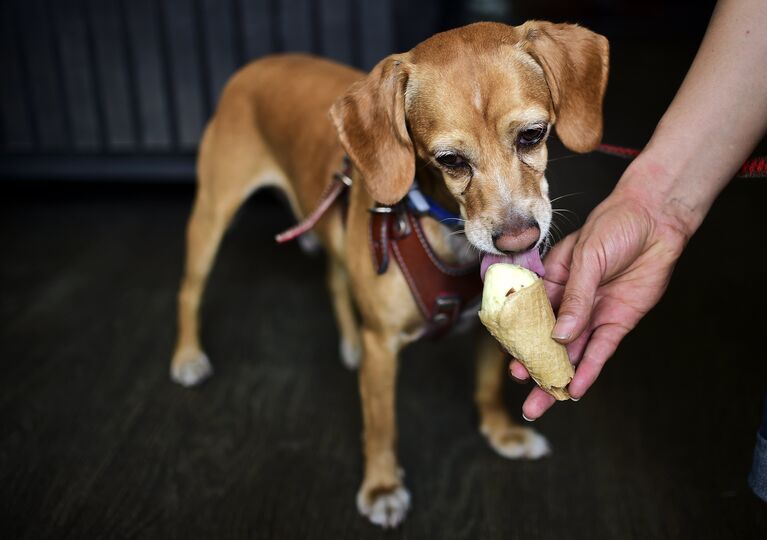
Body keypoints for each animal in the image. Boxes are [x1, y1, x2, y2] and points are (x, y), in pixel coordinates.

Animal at [171, 21, 608, 528]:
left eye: (533, 135)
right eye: (450, 160)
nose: (517, 240)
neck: (445, 234)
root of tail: (255, 65)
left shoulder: (491, 331)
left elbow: (486, 387)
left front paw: (501, 433)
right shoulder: (382, 347)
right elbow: (382, 428)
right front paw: (382, 486)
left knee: (335, 280)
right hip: (211, 217)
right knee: (189, 292)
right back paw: (187, 356)